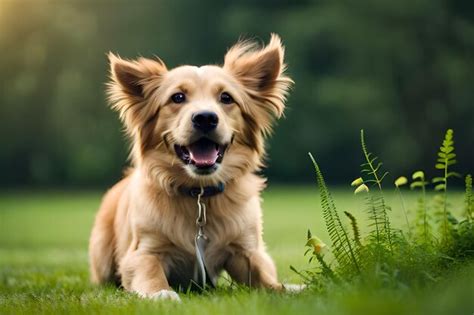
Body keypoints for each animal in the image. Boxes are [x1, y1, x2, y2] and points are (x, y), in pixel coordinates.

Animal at [89, 34, 296, 302]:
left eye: (226, 98)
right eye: (177, 97)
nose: (205, 118)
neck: (199, 194)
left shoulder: (246, 250)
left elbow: (265, 278)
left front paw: (289, 289)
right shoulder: (142, 252)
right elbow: (151, 272)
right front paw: (162, 293)